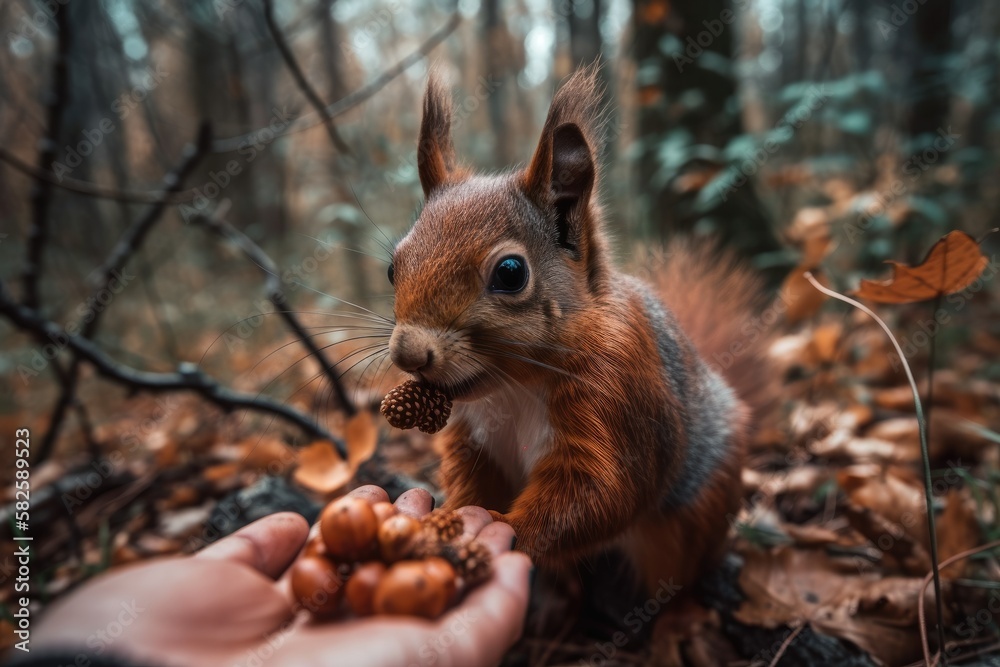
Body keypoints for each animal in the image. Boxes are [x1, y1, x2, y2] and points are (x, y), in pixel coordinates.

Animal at [386, 66, 771, 592]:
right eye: (392, 266)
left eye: (511, 272)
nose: (408, 354)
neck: (511, 388)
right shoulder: (473, 439)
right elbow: (474, 481)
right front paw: (448, 516)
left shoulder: (619, 400)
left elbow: (602, 491)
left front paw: (504, 528)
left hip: (698, 515)